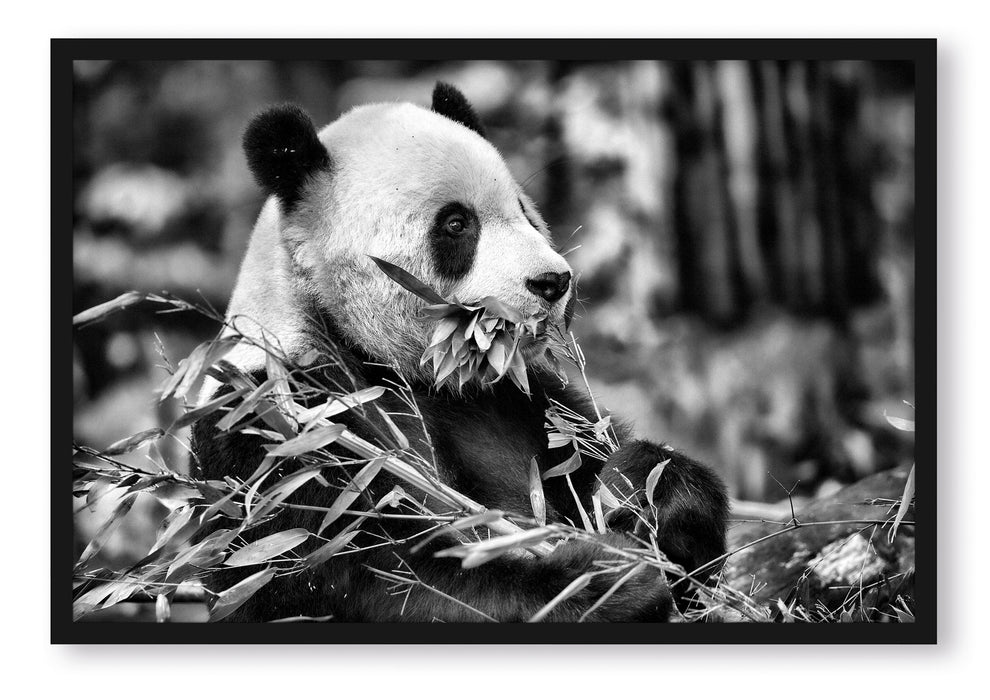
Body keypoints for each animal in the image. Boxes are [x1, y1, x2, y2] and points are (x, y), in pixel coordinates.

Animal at [191, 82, 728, 622]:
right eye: (456, 224)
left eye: (524, 211)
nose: (553, 282)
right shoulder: (281, 421)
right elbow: (350, 577)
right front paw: (602, 580)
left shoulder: (525, 402)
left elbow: (596, 461)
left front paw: (644, 489)